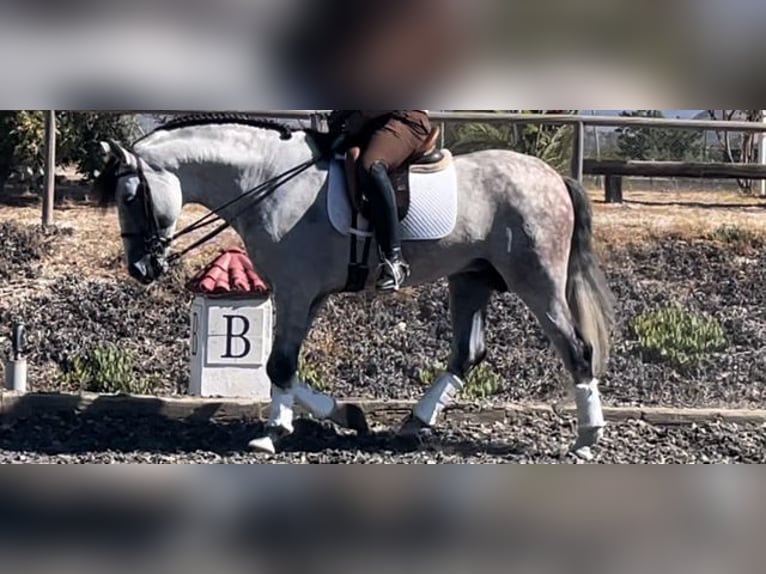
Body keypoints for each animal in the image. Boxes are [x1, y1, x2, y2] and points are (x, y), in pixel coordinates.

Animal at [93, 115, 616, 462]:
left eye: (131, 196)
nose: (141, 268)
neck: (267, 181)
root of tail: (553, 176)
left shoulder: (296, 290)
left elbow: (279, 364)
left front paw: (272, 432)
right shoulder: (308, 295)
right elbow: (285, 368)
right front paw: (346, 414)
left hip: (536, 280)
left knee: (577, 350)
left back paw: (587, 439)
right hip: (470, 278)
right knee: (468, 353)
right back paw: (415, 422)